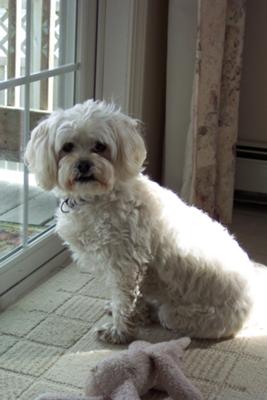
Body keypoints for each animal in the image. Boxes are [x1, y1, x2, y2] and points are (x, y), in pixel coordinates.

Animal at [25, 99, 255, 344]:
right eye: (67, 147)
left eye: (100, 146)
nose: (83, 164)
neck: (97, 198)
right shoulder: (133, 267)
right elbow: (134, 298)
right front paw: (137, 315)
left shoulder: (124, 264)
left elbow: (124, 301)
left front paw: (118, 332)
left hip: (179, 315)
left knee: (169, 316)